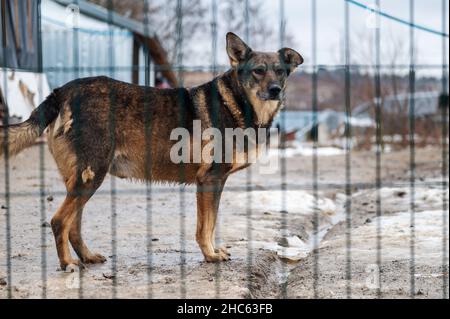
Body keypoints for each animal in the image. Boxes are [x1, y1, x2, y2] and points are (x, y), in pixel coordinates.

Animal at [0, 33, 302, 272]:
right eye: (258, 71)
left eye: (280, 71)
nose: (275, 90)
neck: (240, 103)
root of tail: (61, 91)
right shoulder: (210, 180)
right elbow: (206, 227)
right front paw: (210, 255)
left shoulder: (214, 183)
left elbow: (211, 224)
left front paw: (213, 252)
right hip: (91, 176)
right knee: (59, 221)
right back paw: (68, 264)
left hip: (82, 179)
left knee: (73, 225)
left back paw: (86, 256)